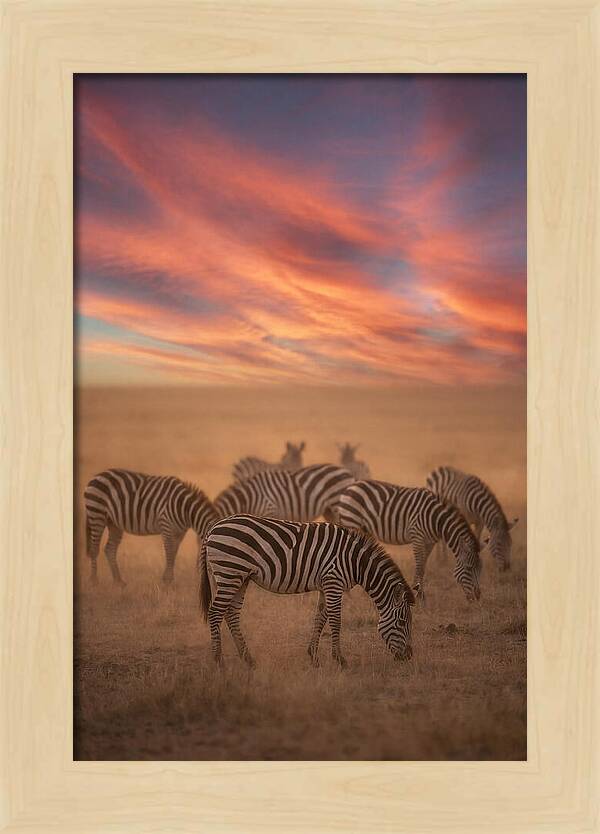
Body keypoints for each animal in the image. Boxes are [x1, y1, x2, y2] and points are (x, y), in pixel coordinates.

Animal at [84, 469, 218, 586]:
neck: (185, 509)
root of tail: (97, 476)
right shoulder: (166, 525)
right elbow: (169, 552)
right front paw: (167, 581)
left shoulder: (179, 532)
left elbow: (174, 553)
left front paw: (167, 580)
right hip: (96, 514)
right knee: (94, 548)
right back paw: (94, 581)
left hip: (114, 523)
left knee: (109, 549)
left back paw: (118, 582)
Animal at [198, 514, 415, 668]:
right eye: (402, 622)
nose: (408, 656)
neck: (355, 562)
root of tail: (213, 528)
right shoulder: (333, 582)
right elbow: (336, 620)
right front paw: (340, 659)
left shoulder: (326, 585)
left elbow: (320, 618)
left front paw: (313, 657)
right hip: (230, 572)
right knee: (215, 612)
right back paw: (219, 661)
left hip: (239, 577)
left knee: (231, 614)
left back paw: (248, 659)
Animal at [333, 479, 482, 602]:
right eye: (469, 568)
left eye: (480, 569)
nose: (477, 597)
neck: (436, 519)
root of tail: (350, 487)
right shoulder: (417, 536)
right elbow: (419, 566)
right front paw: (419, 594)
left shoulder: (430, 542)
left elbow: (423, 567)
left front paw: (420, 593)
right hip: (352, 520)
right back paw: (349, 595)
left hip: (364, 528)